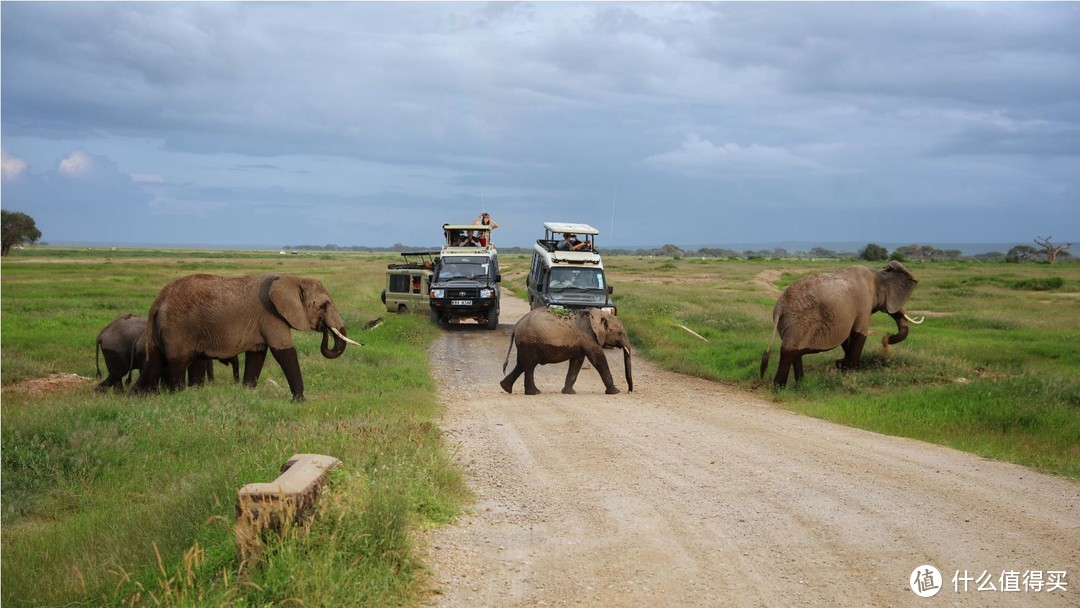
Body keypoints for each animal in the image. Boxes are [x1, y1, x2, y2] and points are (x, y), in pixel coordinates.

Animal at [132, 273, 360, 401]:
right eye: (324, 305)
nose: (324, 328)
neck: (293, 279)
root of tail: (157, 302)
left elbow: (257, 354)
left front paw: (247, 392)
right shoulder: (271, 315)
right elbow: (283, 351)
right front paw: (300, 400)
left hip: (161, 331)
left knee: (154, 362)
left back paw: (136, 397)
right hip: (177, 329)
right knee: (177, 364)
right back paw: (178, 395)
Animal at [498, 306, 630, 397]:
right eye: (619, 333)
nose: (629, 391)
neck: (598, 314)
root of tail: (516, 326)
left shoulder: (581, 342)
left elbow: (577, 361)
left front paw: (569, 392)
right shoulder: (588, 338)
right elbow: (598, 359)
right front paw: (615, 392)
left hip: (525, 343)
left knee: (522, 364)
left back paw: (505, 388)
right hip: (530, 342)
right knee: (529, 365)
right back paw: (534, 393)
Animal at [756, 259, 924, 388]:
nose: (888, 337)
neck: (878, 274)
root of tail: (780, 306)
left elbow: (847, 336)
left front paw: (842, 367)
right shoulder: (864, 303)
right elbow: (859, 333)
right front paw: (853, 374)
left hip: (789, 322)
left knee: (795, 350)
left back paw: (801, 383)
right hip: (799, 320)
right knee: (788, 351)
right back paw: (779, 388)